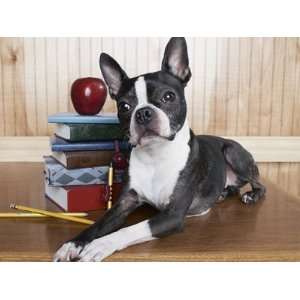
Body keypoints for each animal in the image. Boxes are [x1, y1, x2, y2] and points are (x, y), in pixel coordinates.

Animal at [53, 37, 264, 262]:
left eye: (168, 97)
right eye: (124, 107)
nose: (143, 113)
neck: (155, 156)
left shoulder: (172, 215)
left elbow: (129, 229)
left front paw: (100, 245)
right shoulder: (124, 203)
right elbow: (98, 224)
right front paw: (72, 244)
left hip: (233, 153)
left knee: (259, 185)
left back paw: (251, 195)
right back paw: (223, 193)